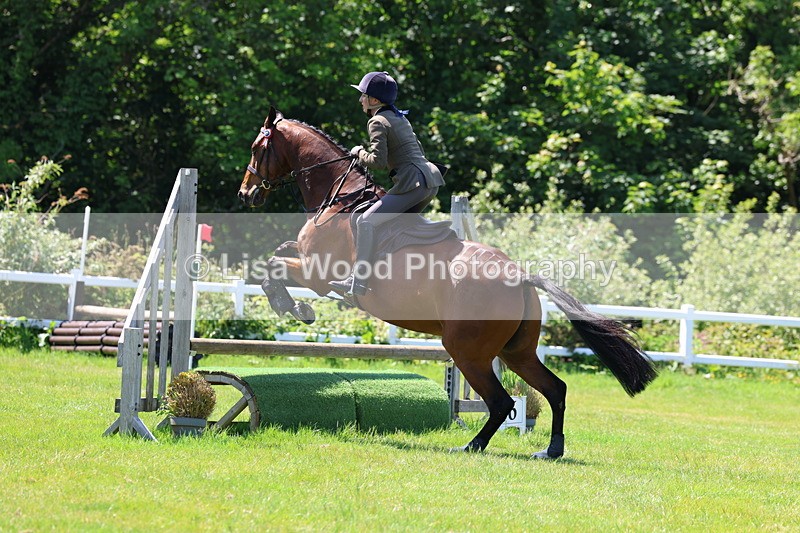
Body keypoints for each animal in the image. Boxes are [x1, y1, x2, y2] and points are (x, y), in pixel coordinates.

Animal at [238, 106, 657, 458]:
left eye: (258, 148)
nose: (246, 194)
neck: (340, 197)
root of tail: (520, 276)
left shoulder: (318, 273)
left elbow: (273, 267)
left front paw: (295, 307)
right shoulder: (305, 258)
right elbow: (278, 253)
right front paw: (292, 304)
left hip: (466, 350)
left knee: (502, 402)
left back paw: (471, 446)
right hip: (515, 352)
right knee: (554, 389)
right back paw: (551, 450)